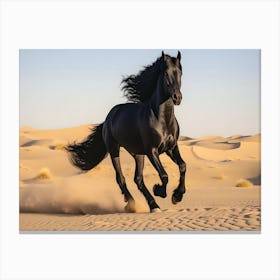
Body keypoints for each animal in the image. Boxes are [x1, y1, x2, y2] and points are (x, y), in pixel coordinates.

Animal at [66, 50, 187, 212]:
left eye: (180, 73)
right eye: (166, 73)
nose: (177, 97)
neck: (162, 119)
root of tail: (109, 117)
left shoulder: (171, 148)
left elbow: (182, 166)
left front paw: (177, 196)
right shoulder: (152, 151)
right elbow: (164, 175)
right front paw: (159, 190)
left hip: (138, 154)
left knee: (138, 179)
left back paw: (153, 205)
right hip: (114, 150)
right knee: (121, 178)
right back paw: (132, 203)